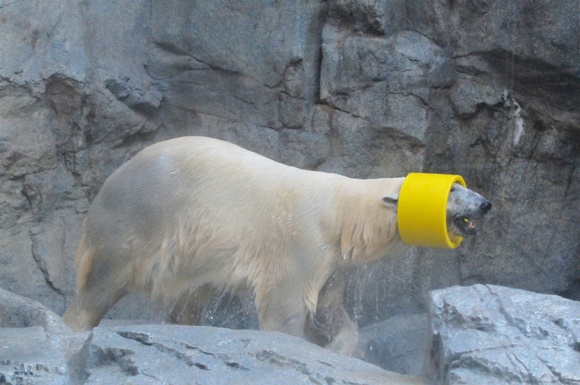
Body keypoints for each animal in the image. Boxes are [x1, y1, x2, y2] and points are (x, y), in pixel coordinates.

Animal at [62, 135, 490, 354]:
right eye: (455, 192)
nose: (485, 203)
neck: (341, 212)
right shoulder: (302, 244)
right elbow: (287, 307)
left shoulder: (334, 264)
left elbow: (328, 308)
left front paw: (337, 345)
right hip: (135, 220)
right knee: (101, 282)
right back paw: (74, 327)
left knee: (190, 296)